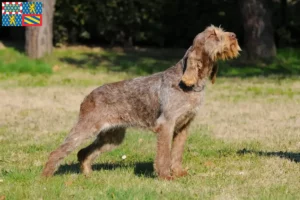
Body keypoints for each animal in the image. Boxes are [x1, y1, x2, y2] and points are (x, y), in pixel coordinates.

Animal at [42, 25, 240, 180]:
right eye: (213, 35)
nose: (234, 35)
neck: (189, 85)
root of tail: (87, 97)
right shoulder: (166, 125)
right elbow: (164, 155)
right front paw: (165, 176)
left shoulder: (183, 127)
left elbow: (176, 153)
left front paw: (178, 172)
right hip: (86, 128)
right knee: (58, 151)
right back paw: (46, 177)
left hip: (112, 136)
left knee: (83, 152)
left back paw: (87, 173)